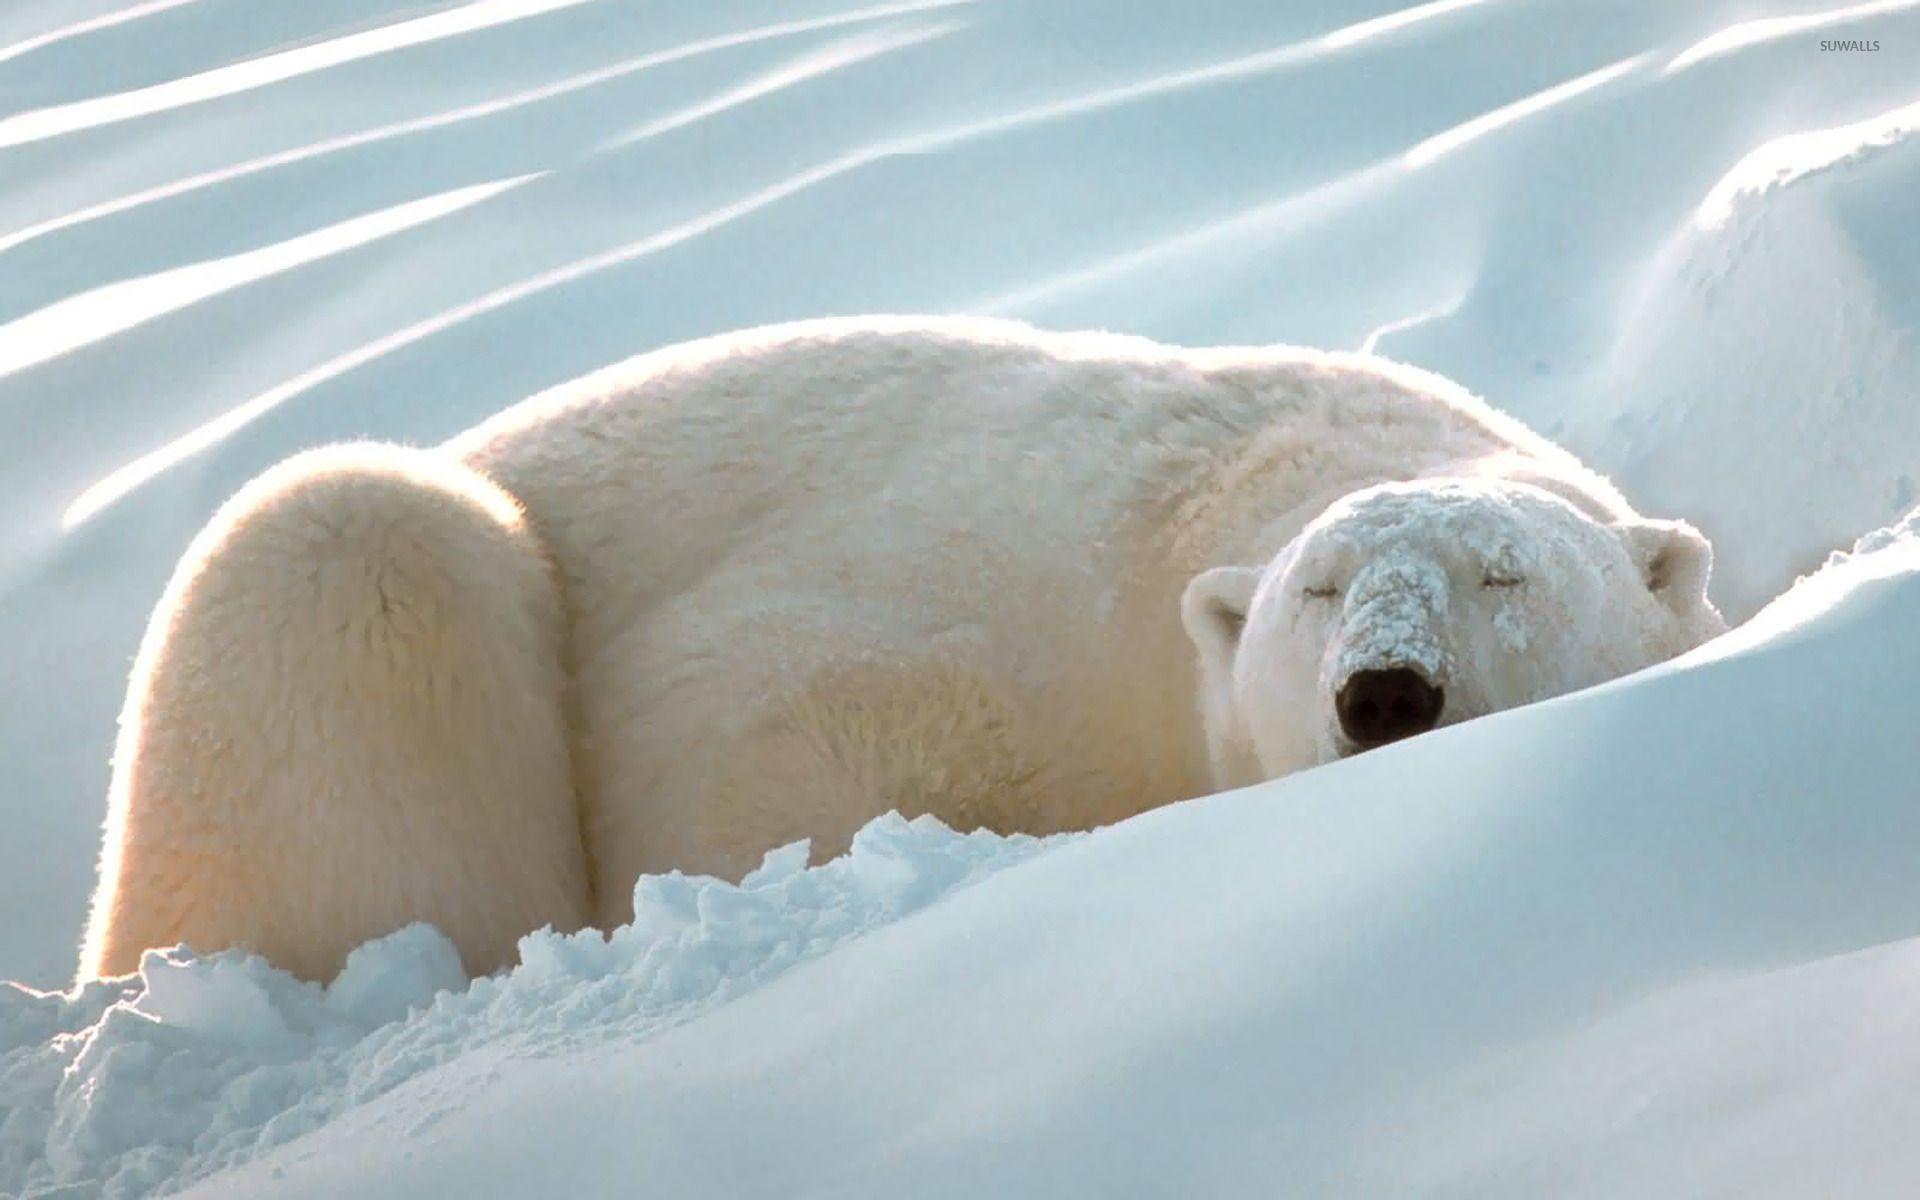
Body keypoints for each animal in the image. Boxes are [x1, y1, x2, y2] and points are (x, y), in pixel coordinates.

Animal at [79, 316, 1726, 982]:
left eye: (1504, 571)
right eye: (1321, 591)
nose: (1386, 692)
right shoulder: (987, 616)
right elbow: (751, 734)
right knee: (348, 540)